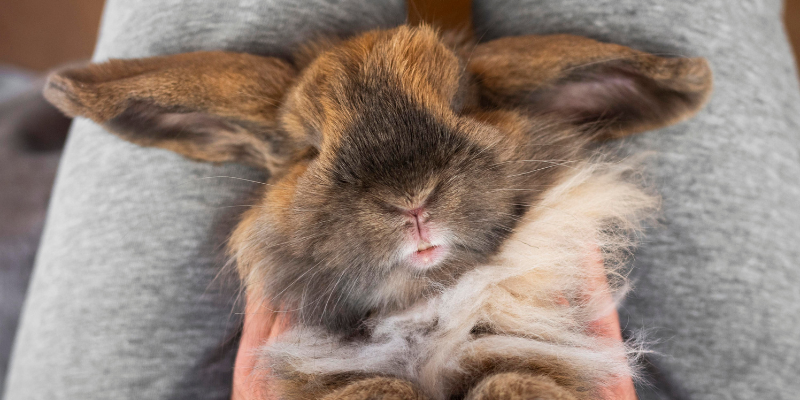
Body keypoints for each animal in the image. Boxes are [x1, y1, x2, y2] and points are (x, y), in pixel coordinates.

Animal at [43, 24, 711, 400]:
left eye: (463, 103)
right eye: (309, 147)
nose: (410, 198)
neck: (423, 304)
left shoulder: (539, 357)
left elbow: (516, 384)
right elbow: (378, 389)